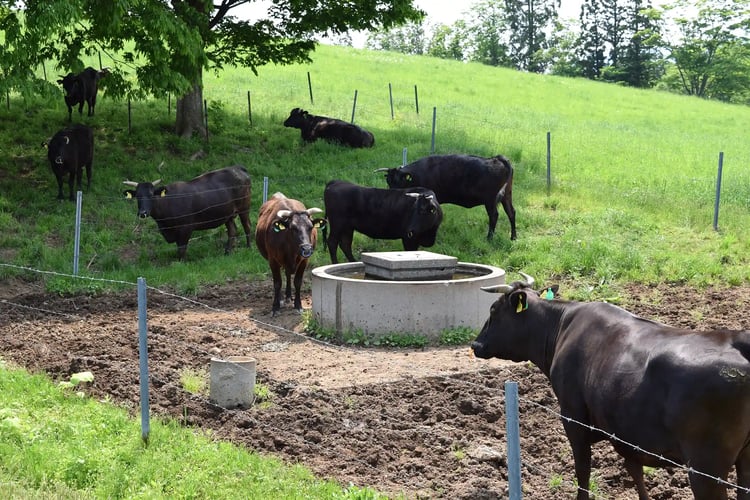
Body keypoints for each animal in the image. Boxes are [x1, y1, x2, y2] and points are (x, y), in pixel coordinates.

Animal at [123, 165, 252, 260]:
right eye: (138, 196)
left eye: (151, 195)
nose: (143, 212)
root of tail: (237, 168)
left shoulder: (186, 228)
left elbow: (182, 248)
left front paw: (182, 262)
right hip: (228, 214)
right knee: (232, 230)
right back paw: (228, 252)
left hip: (244, 208)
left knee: (247, 227)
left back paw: (249, 247)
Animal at [376, 154, 516, 241]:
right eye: (389, 181)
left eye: (399, 181)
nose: (392, 194)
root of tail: (497, 158)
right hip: (507, 195)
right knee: (511, 212)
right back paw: (513, 237)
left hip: (490, 200)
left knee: (494, 216)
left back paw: (489, 238)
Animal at [471, 275, 750, 500]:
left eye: (494, 310)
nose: (476, 344)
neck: (562, 326)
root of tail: (736, 338)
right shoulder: (624, 433)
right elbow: (635, 473)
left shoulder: (573, 418)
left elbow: (583, 472)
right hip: (743, 460)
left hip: (706, 468)